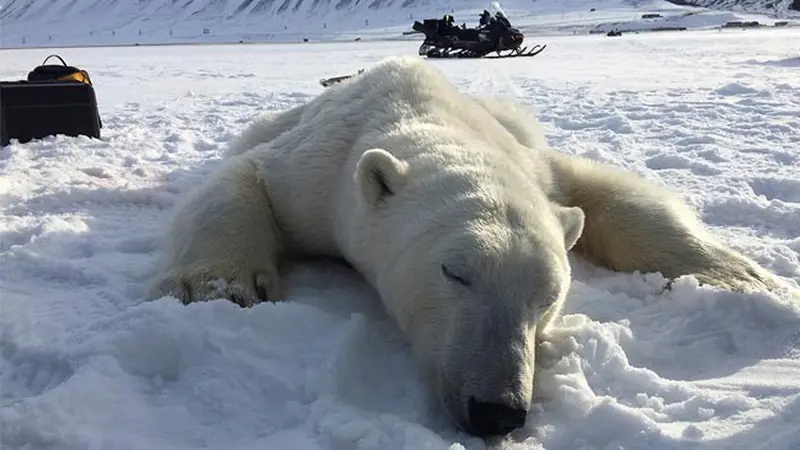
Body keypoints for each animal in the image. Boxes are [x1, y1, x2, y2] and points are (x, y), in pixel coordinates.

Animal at [147, 55, 796, 436]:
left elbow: (607, 193)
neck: (421, 116)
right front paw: (218, 288)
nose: (497, 410)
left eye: (547, 297)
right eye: (454, 272)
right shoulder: (321, 167)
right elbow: (245, 179)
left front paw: (745, 277)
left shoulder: (538, 168)